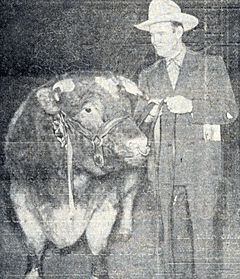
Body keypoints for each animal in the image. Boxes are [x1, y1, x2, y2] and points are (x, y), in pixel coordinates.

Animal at [4, 72, 149, 279]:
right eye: (88, 109)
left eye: (127, 104)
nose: (139, 143)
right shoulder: (20, 198)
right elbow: (35, 245)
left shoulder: (106, 201)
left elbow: (97, 245)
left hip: (133, 175)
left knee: (129, 198)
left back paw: (124, 230)